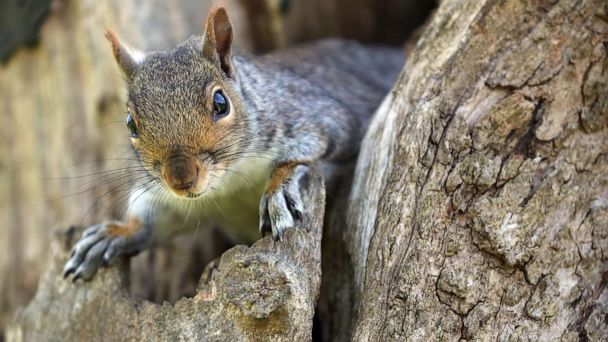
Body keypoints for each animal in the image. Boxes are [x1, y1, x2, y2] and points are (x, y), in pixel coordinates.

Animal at [63, 6, 404, 280]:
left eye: (221, 103)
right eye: (131, 124)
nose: (181, 179)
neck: (228, 183)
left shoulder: (320, 118)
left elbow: (307, 152)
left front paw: (278, 189)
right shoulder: (172, 199)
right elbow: (155, 218)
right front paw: (114, 234)